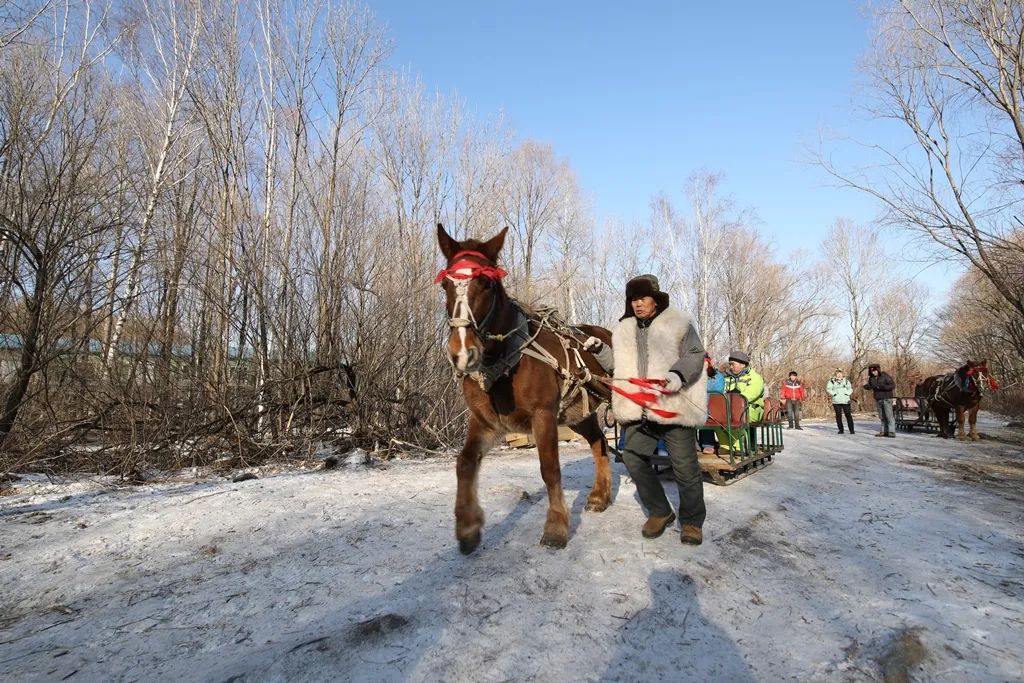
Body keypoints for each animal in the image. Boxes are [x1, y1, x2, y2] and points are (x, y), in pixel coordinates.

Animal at [436, 224, 610, 557]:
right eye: (445, 285)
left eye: (486, 283)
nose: (462, 352)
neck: (503, 363)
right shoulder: (486, 422)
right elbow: (464, 463)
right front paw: (468, 527)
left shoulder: (544, 416)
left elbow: (550, 469)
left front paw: (555, 528)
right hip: (580, 414)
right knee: (599, 443)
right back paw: (600, 495)